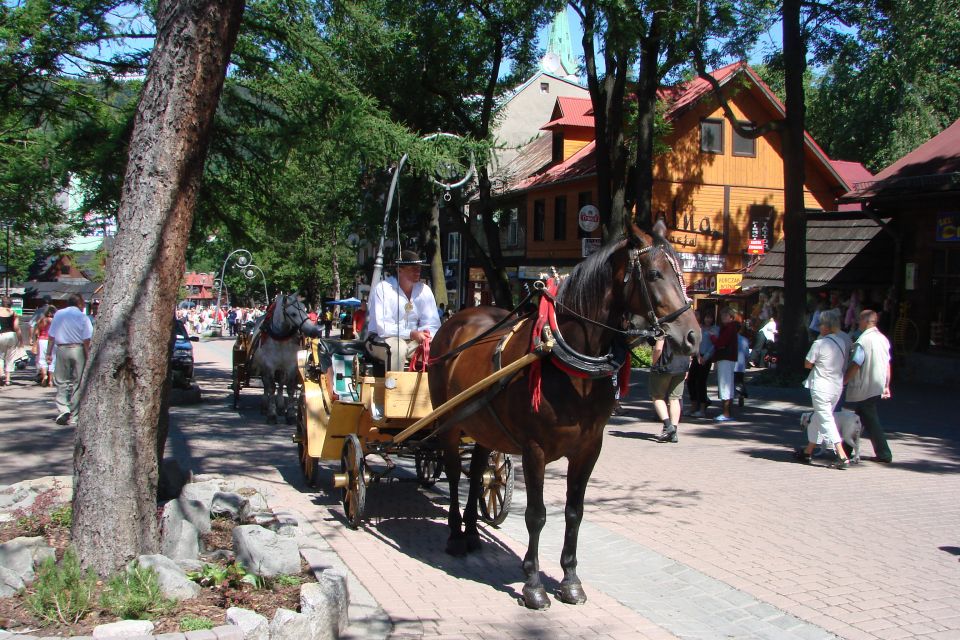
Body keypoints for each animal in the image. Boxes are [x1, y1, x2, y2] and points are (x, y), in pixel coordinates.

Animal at [248, 296, 322, 424]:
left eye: (305, 309)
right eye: (293, 314)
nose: (313, 331)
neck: (280, 339)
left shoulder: (291, 366)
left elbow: (290, 388)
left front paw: (290, 414)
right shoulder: (269, 367)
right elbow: (271, 388)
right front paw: (271, 414)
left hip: (281, 368)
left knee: (281, 383)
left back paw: (281, 406)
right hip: (264, 369)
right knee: (266, 384)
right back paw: (265, 405)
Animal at [428, 222, 696, 608]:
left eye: (682, 274)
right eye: (655, 274)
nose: (693, 336)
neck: (568, 361)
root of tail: (457, 320)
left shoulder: (589, 449)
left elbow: (574, 512)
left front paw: (570, 579)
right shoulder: (534, 450)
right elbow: (536, 515)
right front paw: (533, 584)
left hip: (483, 425)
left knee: (478, 472)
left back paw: (472, 533)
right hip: (449, 424)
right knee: (452, 474)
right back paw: (454, 534)